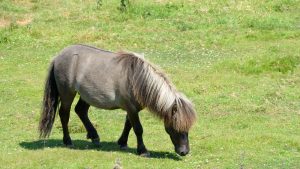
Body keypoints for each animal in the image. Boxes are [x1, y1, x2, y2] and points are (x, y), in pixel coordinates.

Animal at [38, 44, 197, 156]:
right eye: (175, 126)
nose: (184, 152)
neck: (136, 79)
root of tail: (58, 57)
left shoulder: (132, 109)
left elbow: (128, 125)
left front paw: (122, 142)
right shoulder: (131, 109)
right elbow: (138, 129)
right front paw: (143, 150)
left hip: (86, 95)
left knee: (81, 111)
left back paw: (94, 137)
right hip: (67, 93)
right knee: (64, 114)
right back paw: (68, 141)